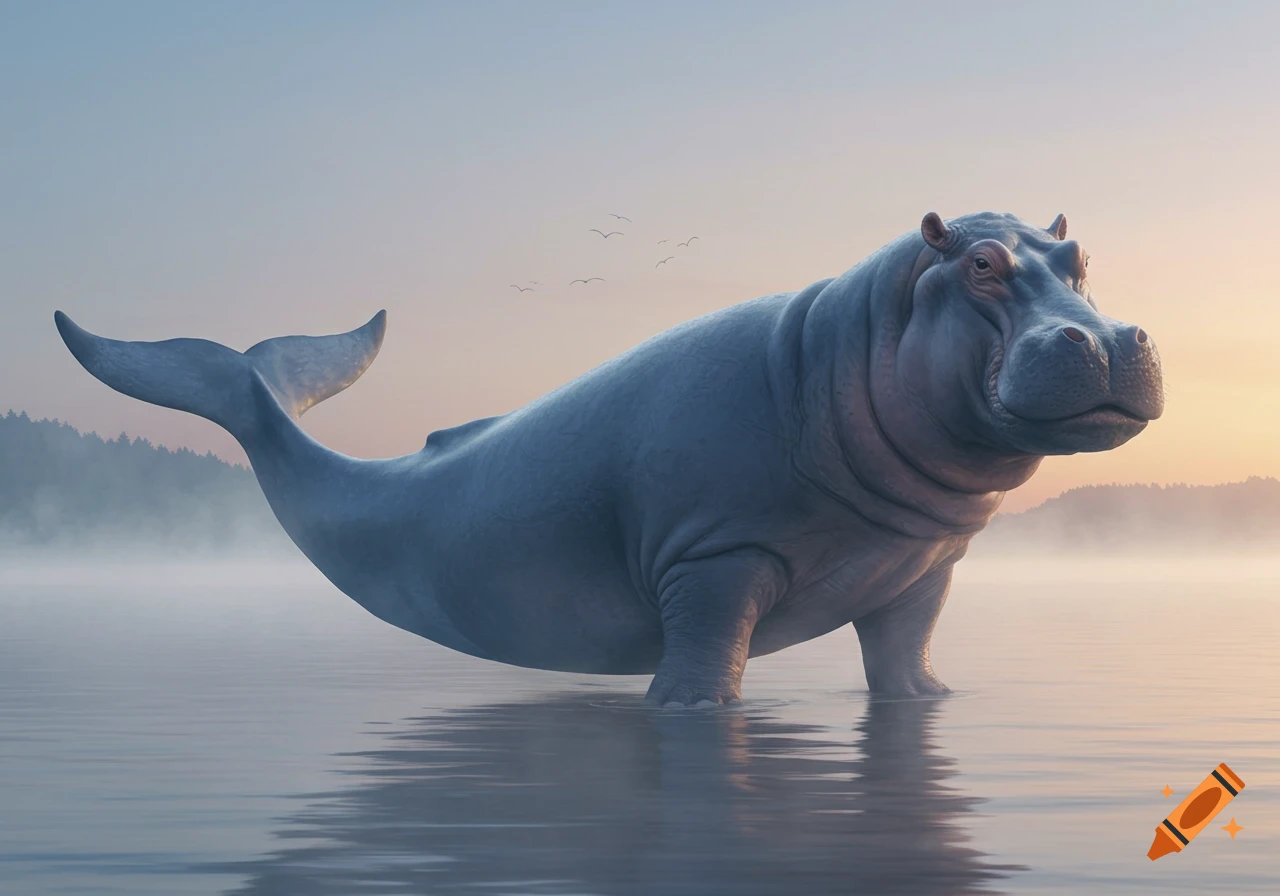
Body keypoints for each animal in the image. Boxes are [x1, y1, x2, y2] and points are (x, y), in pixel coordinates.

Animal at [55, 211, 1163, 706]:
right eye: (979, 263)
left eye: (1079, 257)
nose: (1107, 336)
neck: (860, 333)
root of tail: (253, 378)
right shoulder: (715, 557)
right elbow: (706, 658)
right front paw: (689, 709)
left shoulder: (920, 567)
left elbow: (904, 653)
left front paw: (931, 703)